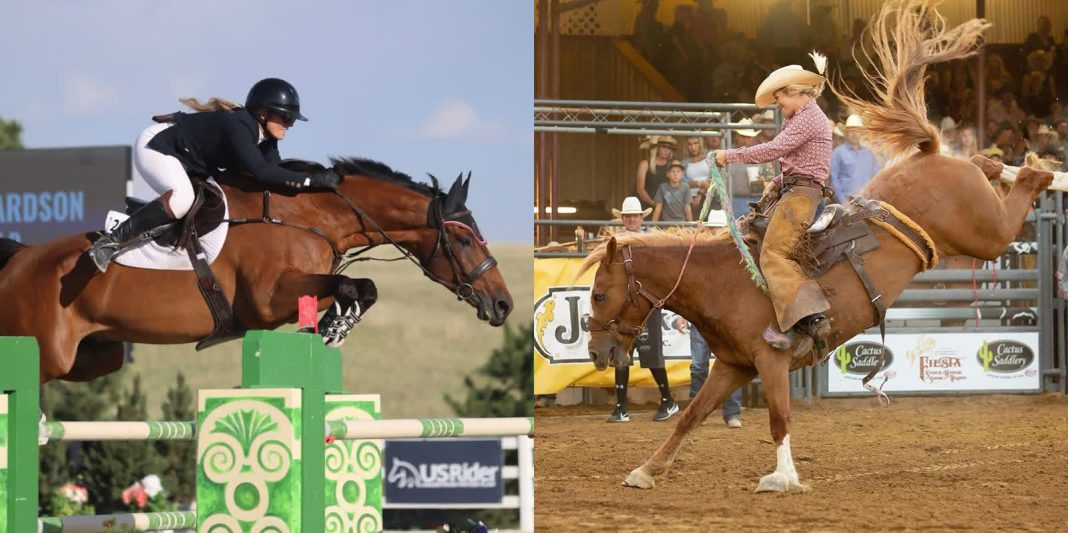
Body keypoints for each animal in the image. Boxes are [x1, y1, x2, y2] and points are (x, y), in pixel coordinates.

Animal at [0, 157, 513, 384]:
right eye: (463, 240)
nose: (503, 304)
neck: (308, 215)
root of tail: (19, 259)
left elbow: (360, 287)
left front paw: (334, 326)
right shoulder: (267, 300)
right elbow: (354, 284)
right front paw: (334, 328)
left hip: (94, 355)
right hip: (43, 350)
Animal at [583, 0, 1054, 493]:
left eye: (600, 294)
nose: (596, 353)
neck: (719, 280)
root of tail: (930, 154)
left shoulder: (770, 360)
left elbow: (778, 419)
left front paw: (782, 477)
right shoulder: (732, 365)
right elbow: (691, 415)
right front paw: (647, 469)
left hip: (986, 233)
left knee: (1017, 196)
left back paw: (1038, 168)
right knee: (985, 164)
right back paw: (1002, 163)